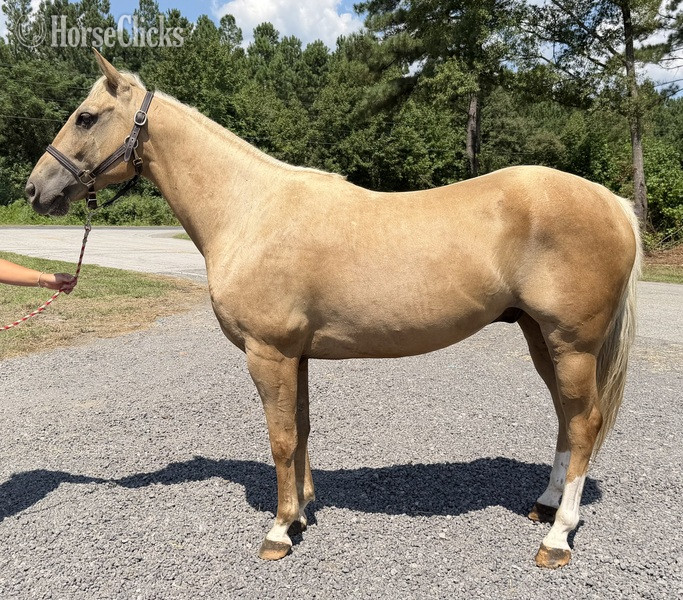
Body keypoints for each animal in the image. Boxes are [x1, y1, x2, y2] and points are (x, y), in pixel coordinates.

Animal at [26, 50, 641, 569]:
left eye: (86, 118)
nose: (35, 190)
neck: (250, 210)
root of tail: (613, 203)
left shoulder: (267, 353)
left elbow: (280, 438)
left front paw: (278, 532)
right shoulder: (294, 356)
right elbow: (300, 430)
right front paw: (300, 514)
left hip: (571, 343)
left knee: (584, 423)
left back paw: (557, 537)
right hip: (542, 338)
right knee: (566, 418)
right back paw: (545, 505)